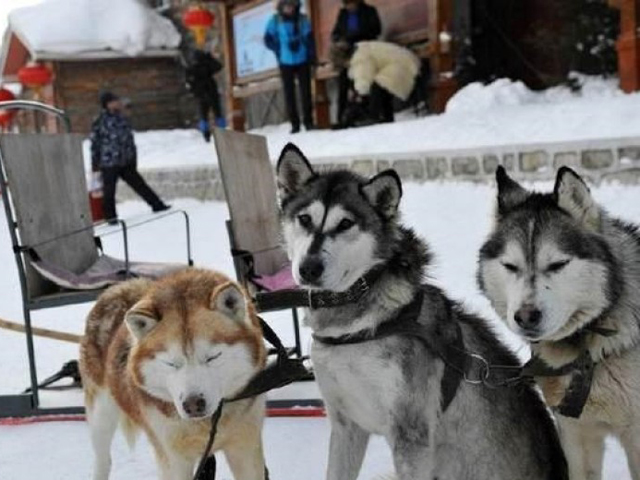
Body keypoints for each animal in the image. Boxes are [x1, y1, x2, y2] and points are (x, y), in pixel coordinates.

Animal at [79, 270, 264, 480]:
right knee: (103, 459)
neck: (208, 422)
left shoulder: (245, 447)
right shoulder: (173, 459)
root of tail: (117, 288)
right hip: (101, 416)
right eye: (171, 363)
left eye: (212, 357)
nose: (193, 404)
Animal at [278, 144, 568, 478]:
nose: (309, 268)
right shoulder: (345, 425)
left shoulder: (410, 433)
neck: (353, 327)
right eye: (304, 219)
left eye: (345, 224)